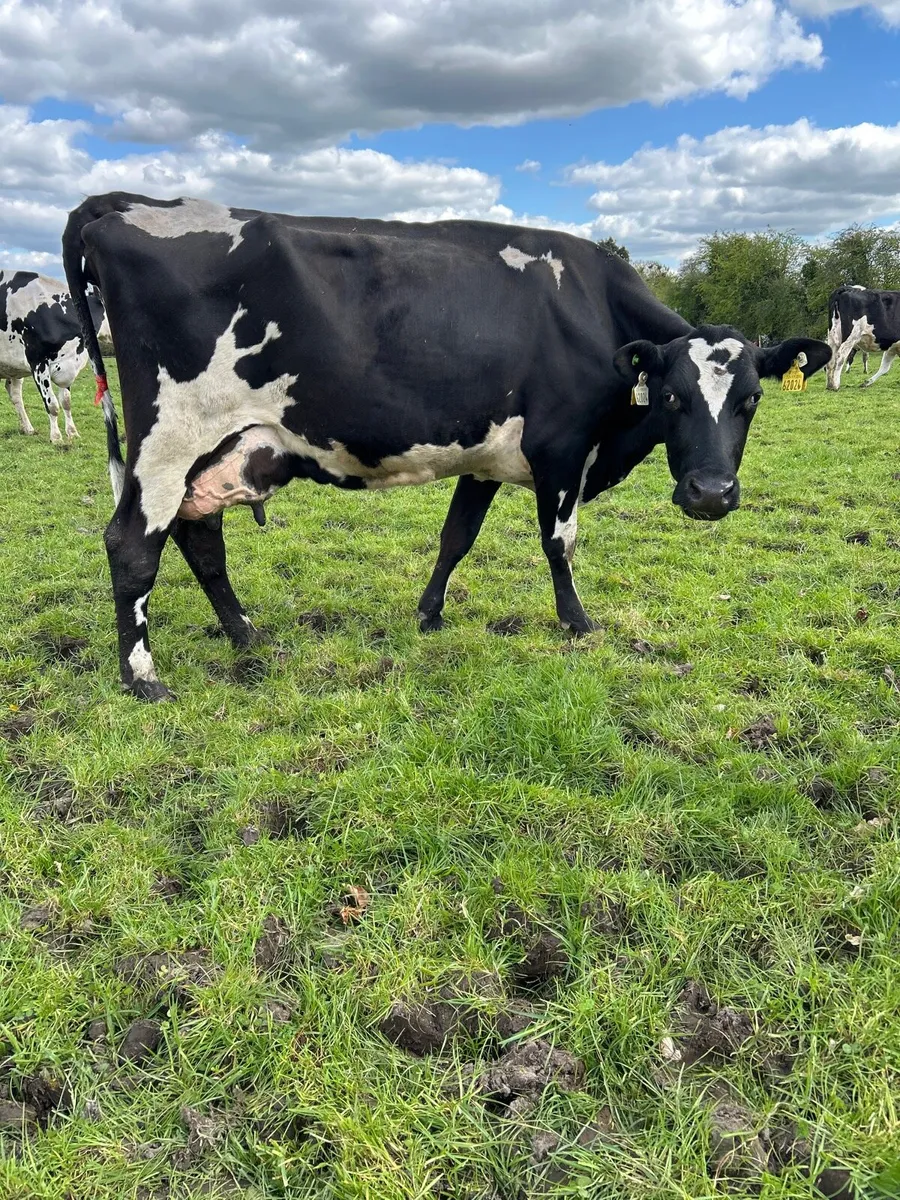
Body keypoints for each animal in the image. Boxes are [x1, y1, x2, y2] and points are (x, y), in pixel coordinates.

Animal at [0, 270, 106, 440]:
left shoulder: (68, 365)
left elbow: (66, 402)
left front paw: (72, 433)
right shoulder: (38, 364)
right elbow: (52, 405)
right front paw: (56, 437)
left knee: (15, 394)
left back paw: (28, 428)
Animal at [62, 192, 831, 701]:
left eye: (751, 401)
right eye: (672, 398)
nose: (711, 494)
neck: (591, 312)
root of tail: (130, 206)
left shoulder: (486, 456)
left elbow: (456, 536)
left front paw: (429, 615)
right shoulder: (561, 448)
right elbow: (560, 543)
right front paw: (577, 623)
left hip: (219, 450)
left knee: (200, 539)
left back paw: (247, 635)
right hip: (168, 439)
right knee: (132, 544)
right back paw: (144, 678)